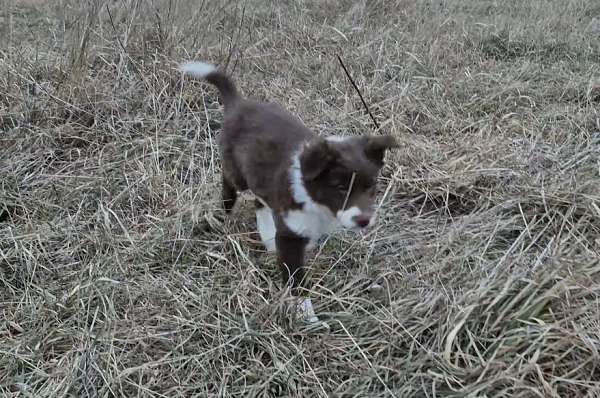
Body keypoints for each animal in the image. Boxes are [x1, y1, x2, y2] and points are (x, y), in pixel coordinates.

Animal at [180, 61, 396, 324]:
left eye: (371, 186)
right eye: (340, 187)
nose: (364, 221)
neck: (316, 202)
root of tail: (239, 104)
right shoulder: (291, 235)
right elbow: (296, 279)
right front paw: (306, 315)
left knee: (260, 202)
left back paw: (267, 238)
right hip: (237, 173)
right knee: (230, 183)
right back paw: (225, 211)